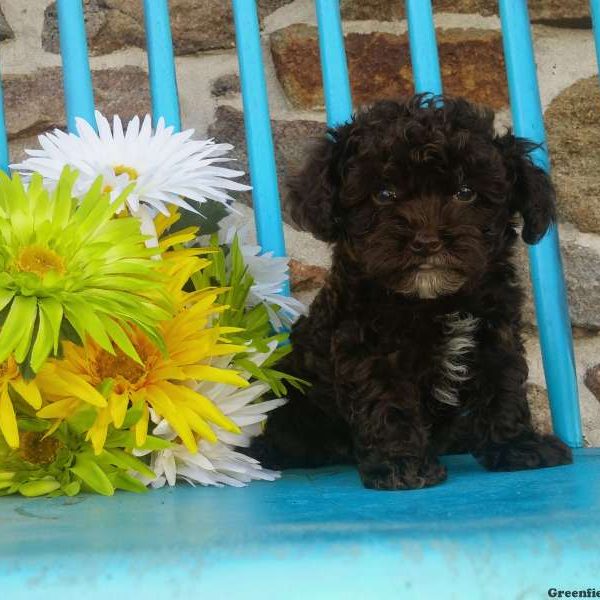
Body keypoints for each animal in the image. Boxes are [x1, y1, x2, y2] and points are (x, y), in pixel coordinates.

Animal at [247, 92, 572, 488]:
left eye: (465, 192)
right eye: (384, 194)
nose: (427, 242)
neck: (435, 301)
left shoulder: (497, 335)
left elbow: (505, 388)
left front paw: (517, 446)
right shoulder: (370, 348)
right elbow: (388, 402)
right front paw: (403, 465)